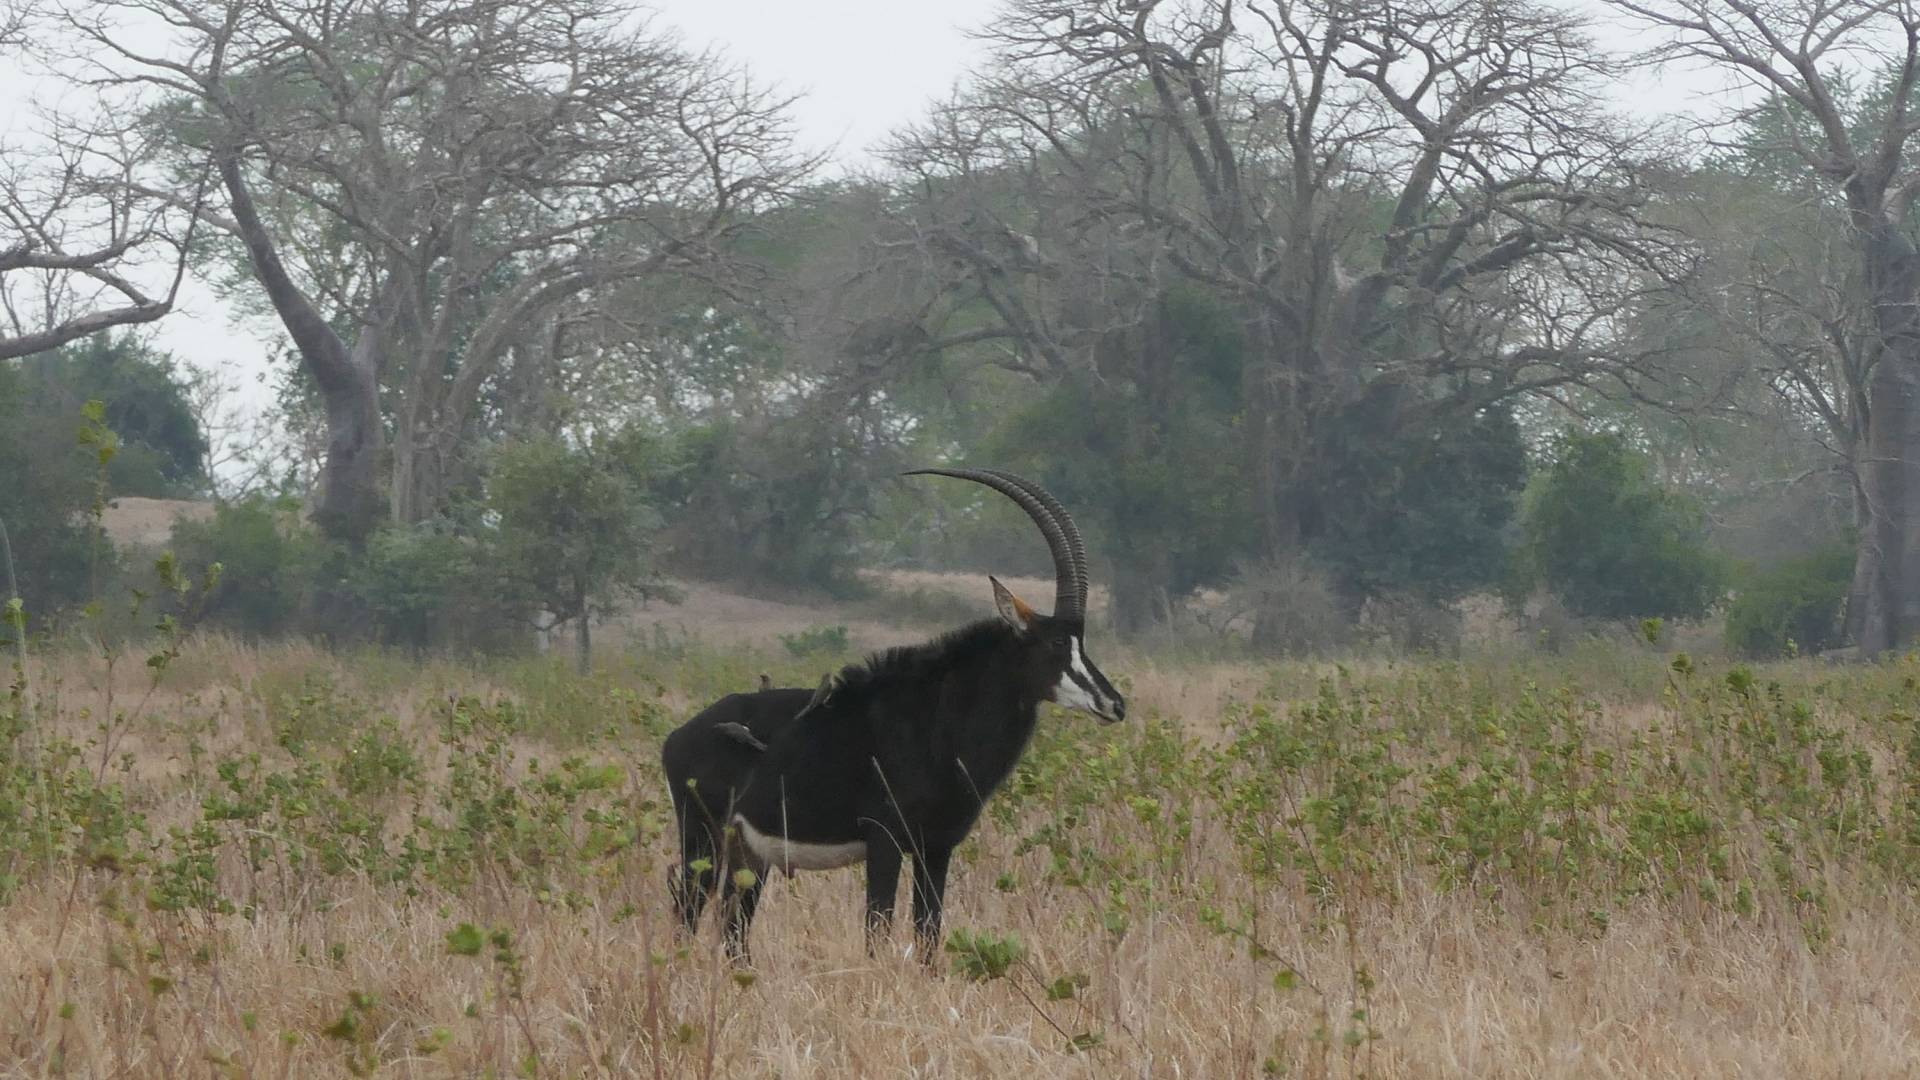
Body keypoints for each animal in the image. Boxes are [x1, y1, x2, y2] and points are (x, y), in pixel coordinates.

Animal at [660, 469, 1125, 961]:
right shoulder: (884, 841)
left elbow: (928, 932)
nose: (1115, 704)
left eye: (1081, 642)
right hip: (702, 839)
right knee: (688, 910)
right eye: (1056, 643)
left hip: (751, 854)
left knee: (733, 926)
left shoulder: (936, 847)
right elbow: (877, 929)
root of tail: (679, 737)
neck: (939, 722)